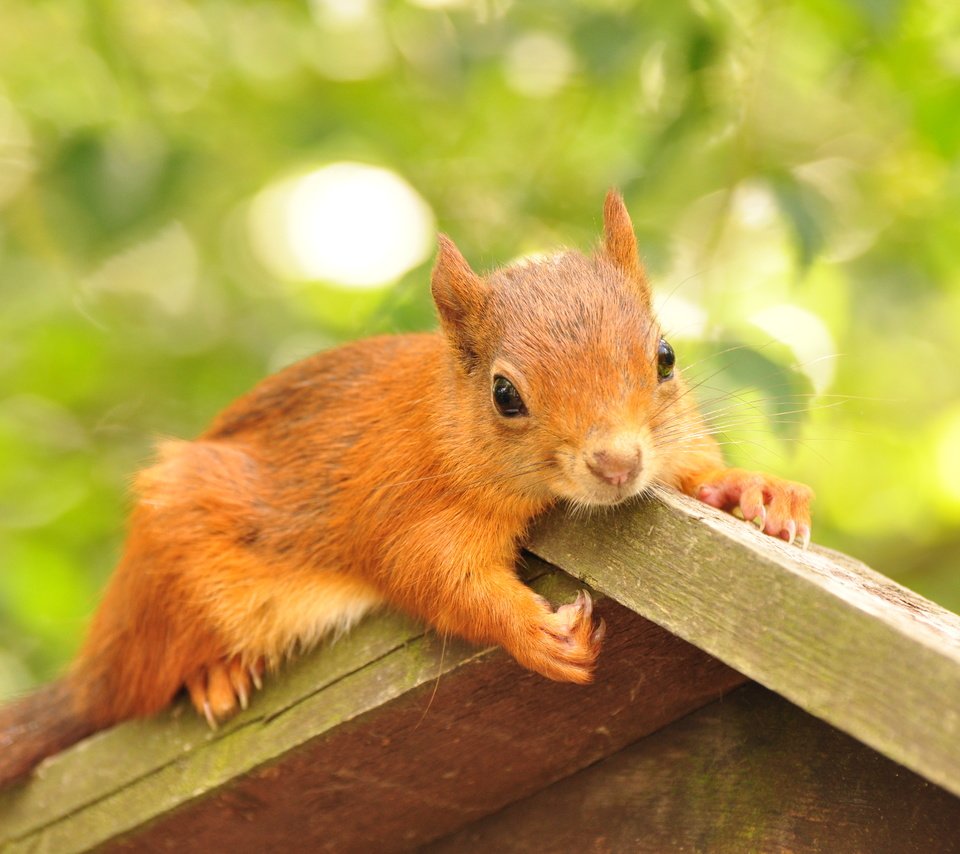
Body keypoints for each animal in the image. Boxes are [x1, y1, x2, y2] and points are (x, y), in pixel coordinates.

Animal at [0, 192, 808, 788]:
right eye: (505, 395)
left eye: (665, 356)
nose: (616, 465)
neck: (445, 422)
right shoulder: (412, 507)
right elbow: (433, 576)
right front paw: (534, 632)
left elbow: (695, 469)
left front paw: (757, 491)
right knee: (130, 693)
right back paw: (213, 676)